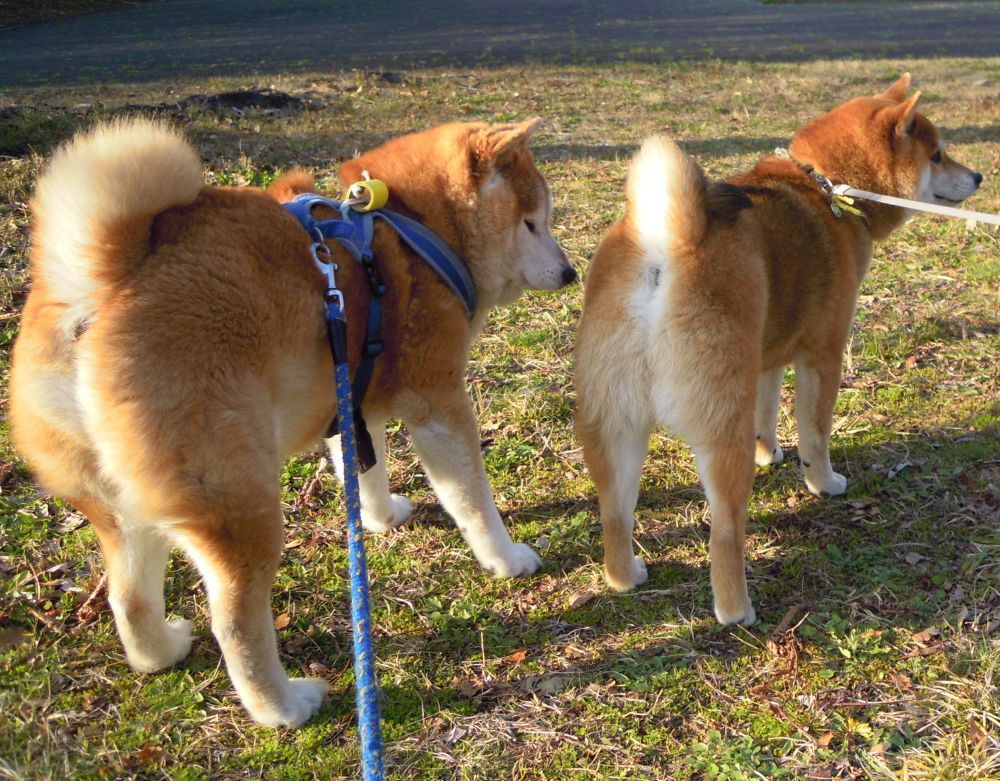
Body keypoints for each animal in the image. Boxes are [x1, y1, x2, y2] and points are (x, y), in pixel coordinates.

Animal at [9, 117, 573, 727]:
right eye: (533, 222)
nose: (571, 271)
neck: (413, 229)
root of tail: (100, 284)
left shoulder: (352, 396)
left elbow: (365, 471)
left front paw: (381, 517)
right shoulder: (437, 400)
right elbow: (471, 500)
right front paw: (505, 557)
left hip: (124, 508)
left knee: (129, 596)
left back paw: (162, 650)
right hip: (239, 503)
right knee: (234, 622)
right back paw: (284, 706)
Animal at [574, 74, 982, 625]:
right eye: (938, 155)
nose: (979, 175)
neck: (826, 186)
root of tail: (665, 245)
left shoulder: (765, 360)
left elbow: (767, 414)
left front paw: (769, 451)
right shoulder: (823, 355)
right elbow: (816, 433)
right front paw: (823, 482)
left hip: (615, 424)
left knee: (614, 513)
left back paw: (627, 575)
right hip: (717, 430)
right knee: (725, 532)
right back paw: (736, 609)